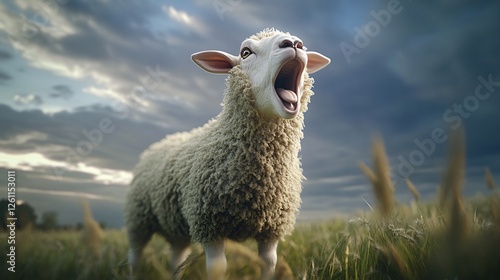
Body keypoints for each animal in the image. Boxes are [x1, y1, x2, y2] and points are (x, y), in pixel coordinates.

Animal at [124, 27, 328, 278]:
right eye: (245, 52)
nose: (293, 43)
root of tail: (162, 141)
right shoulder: (210, 226)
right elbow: (218, 268)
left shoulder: (271, 230)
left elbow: (268, 263)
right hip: (138, 220)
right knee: (135, 258)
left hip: (176, 227)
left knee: (176, 260)